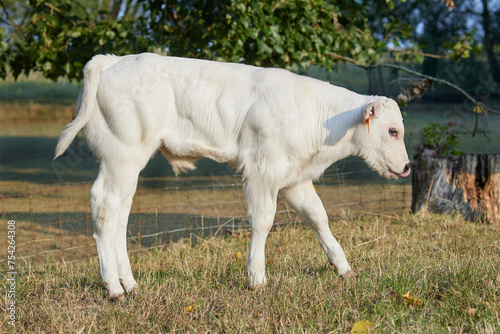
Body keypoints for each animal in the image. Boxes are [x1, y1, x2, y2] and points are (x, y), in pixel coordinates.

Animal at [54, 52, 408, 300]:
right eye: (393, 131)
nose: (406, 167)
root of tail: (111, 60)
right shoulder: (263, 169)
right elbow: (263, 221)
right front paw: (257, 278)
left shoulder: (294, 178)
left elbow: (318, 217)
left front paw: (343, 268)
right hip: (122, 154)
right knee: (104, 206)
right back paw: (113, 287)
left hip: (127, 164)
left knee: (120, 213)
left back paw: (129, 283)